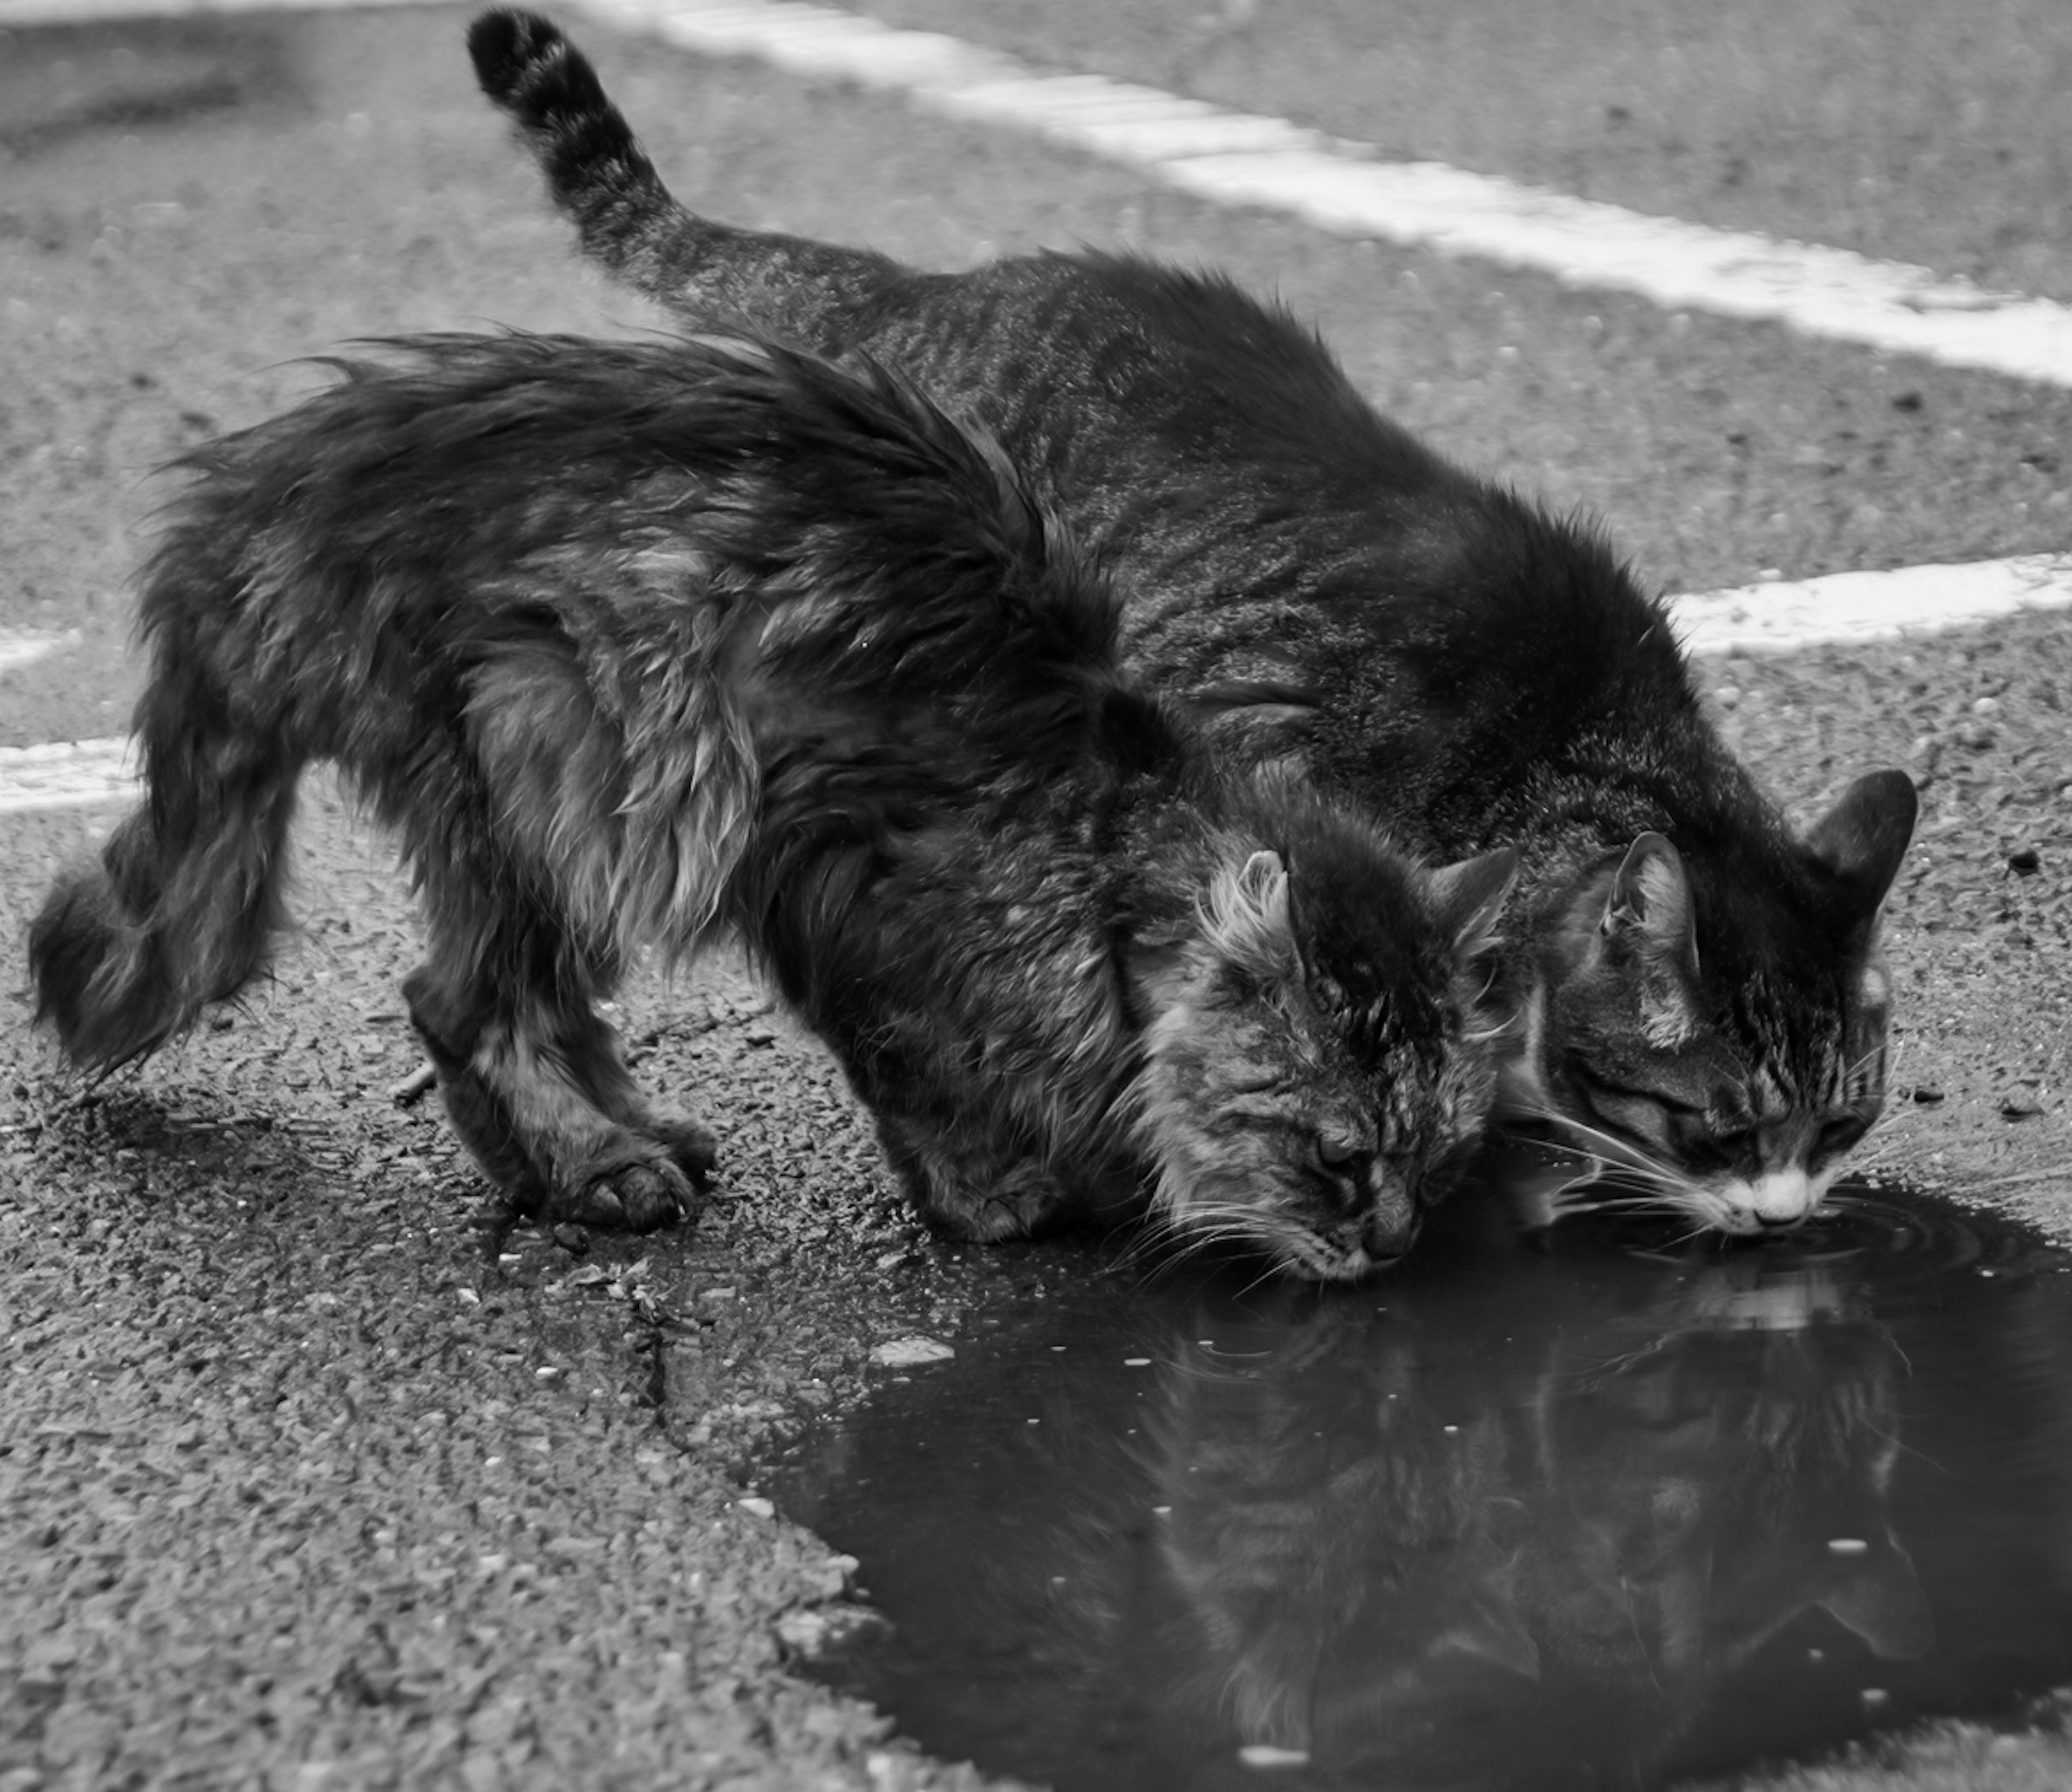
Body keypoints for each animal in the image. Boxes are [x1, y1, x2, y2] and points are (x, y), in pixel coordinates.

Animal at [28, 331, 1525, 1284]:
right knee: (460, 999)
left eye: (1442, 1157)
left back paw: (613, 1135)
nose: (1394, 1242)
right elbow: (923, 1081)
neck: (1103, 855)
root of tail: (269, 484)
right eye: (1338, 1154)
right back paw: (592, 1163)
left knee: (517, 993)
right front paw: (1004, 1195)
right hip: (594, 756)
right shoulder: (854, 902)